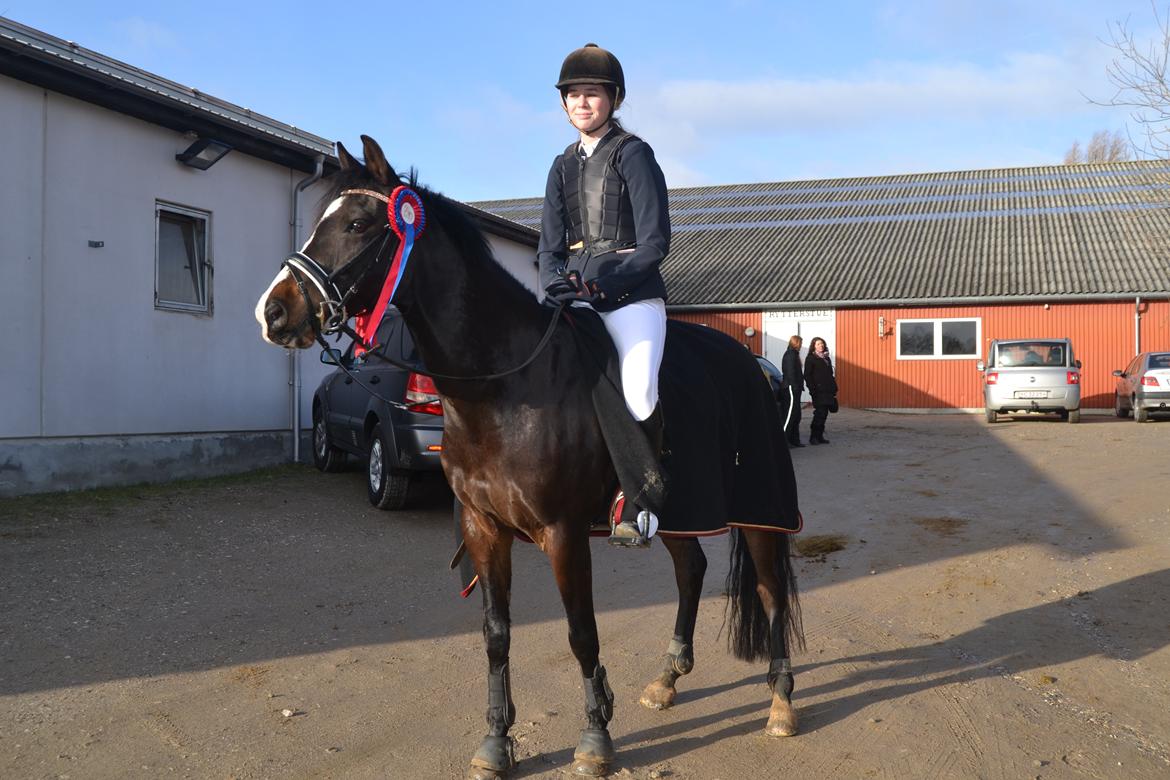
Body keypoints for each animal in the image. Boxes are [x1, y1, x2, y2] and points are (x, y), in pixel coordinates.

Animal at [256, 135, 803, 778]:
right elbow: (496, 634)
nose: (273, 312)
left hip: (759, 509)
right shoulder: (483, 527)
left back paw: (780, 704)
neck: (503, 387)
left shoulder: (563, 532)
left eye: (360, 224)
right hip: (679, 509)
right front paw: (497, 741)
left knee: (768, 588)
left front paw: (595, 739)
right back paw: (667, 680)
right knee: (690, 568)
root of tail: (750, 363)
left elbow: (581, 633)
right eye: (319, 219)